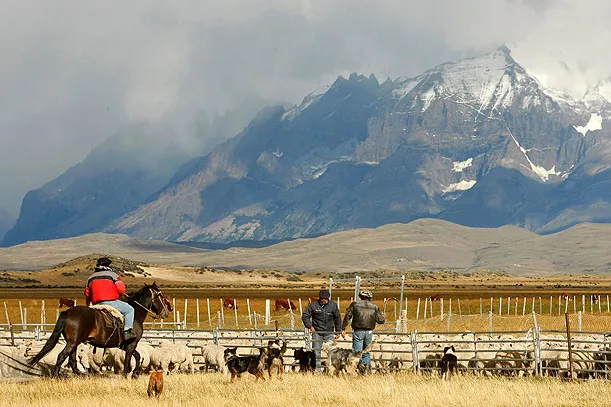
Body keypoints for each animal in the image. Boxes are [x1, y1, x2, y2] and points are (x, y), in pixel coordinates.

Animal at [27, 282, 171, 378]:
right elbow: (129, 359)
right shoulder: (131, 343)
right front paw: (127, 375)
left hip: (73, 342)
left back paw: (79, 375)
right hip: (73, 343)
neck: (136, 313)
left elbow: (137, 356)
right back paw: (56, 376)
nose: (166, 312)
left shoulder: (124, 345)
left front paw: (135, 373)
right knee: (62, 356)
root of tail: (68, 312)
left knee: (72, 359)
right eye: (160, 295)